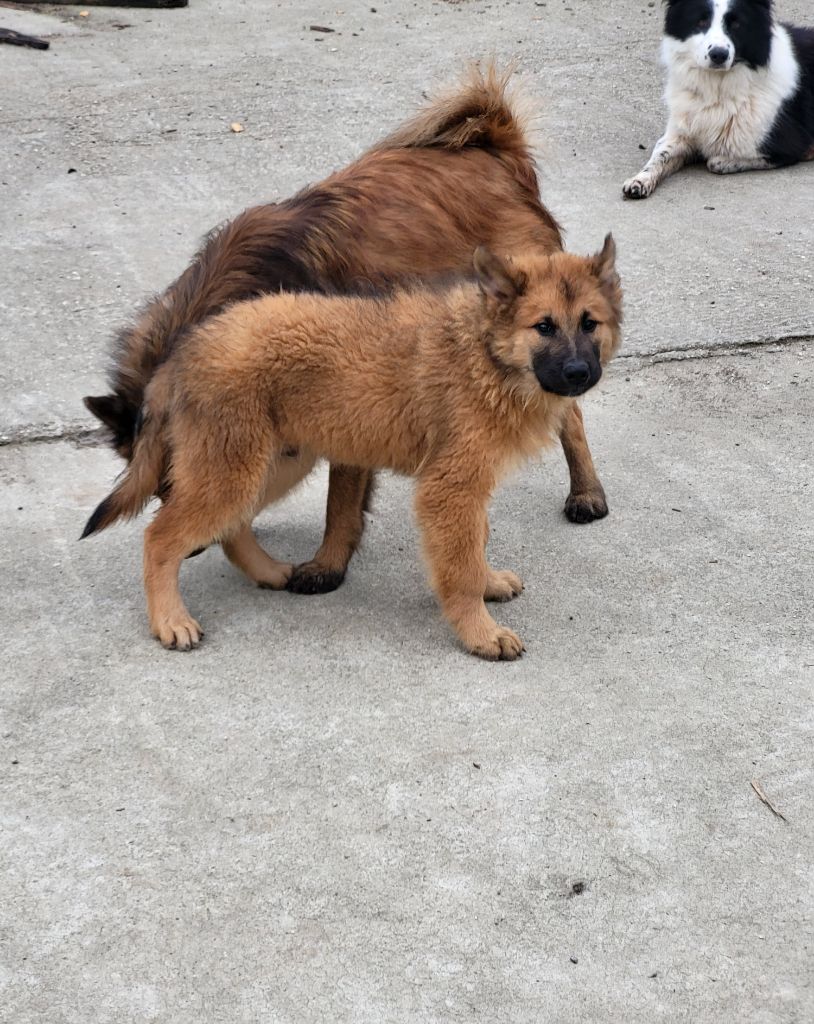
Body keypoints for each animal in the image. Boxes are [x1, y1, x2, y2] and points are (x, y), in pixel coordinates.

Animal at [82, 235, 622, 659]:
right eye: (544, 326)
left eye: (589, 323)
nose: (579, 374)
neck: (485, 353)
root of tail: (184, 349)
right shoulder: (449, 488)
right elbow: (460, 562)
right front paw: (480, 632)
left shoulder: (467, 485)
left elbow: (475, 544)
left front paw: (487, 584)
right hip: (234, 467)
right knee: (160, 537)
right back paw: (170, 620)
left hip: (272, 462)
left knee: (231, 529)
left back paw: (269, 572)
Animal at [86, 68, 614, 598]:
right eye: (158, 482)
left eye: (172, 476)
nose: (194, 547)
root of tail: (495, 147)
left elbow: (340, 500)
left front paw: (327, 564)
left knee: (570, 414)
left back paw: (587, 492)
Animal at [626, 0, 810, 197]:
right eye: (701, 21)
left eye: (736, 24)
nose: (719, 55)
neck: (716, 89)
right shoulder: (679, 132)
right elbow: (660, 154)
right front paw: (640, 179)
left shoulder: (787, 146)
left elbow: (725, 160)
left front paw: (724, 161)